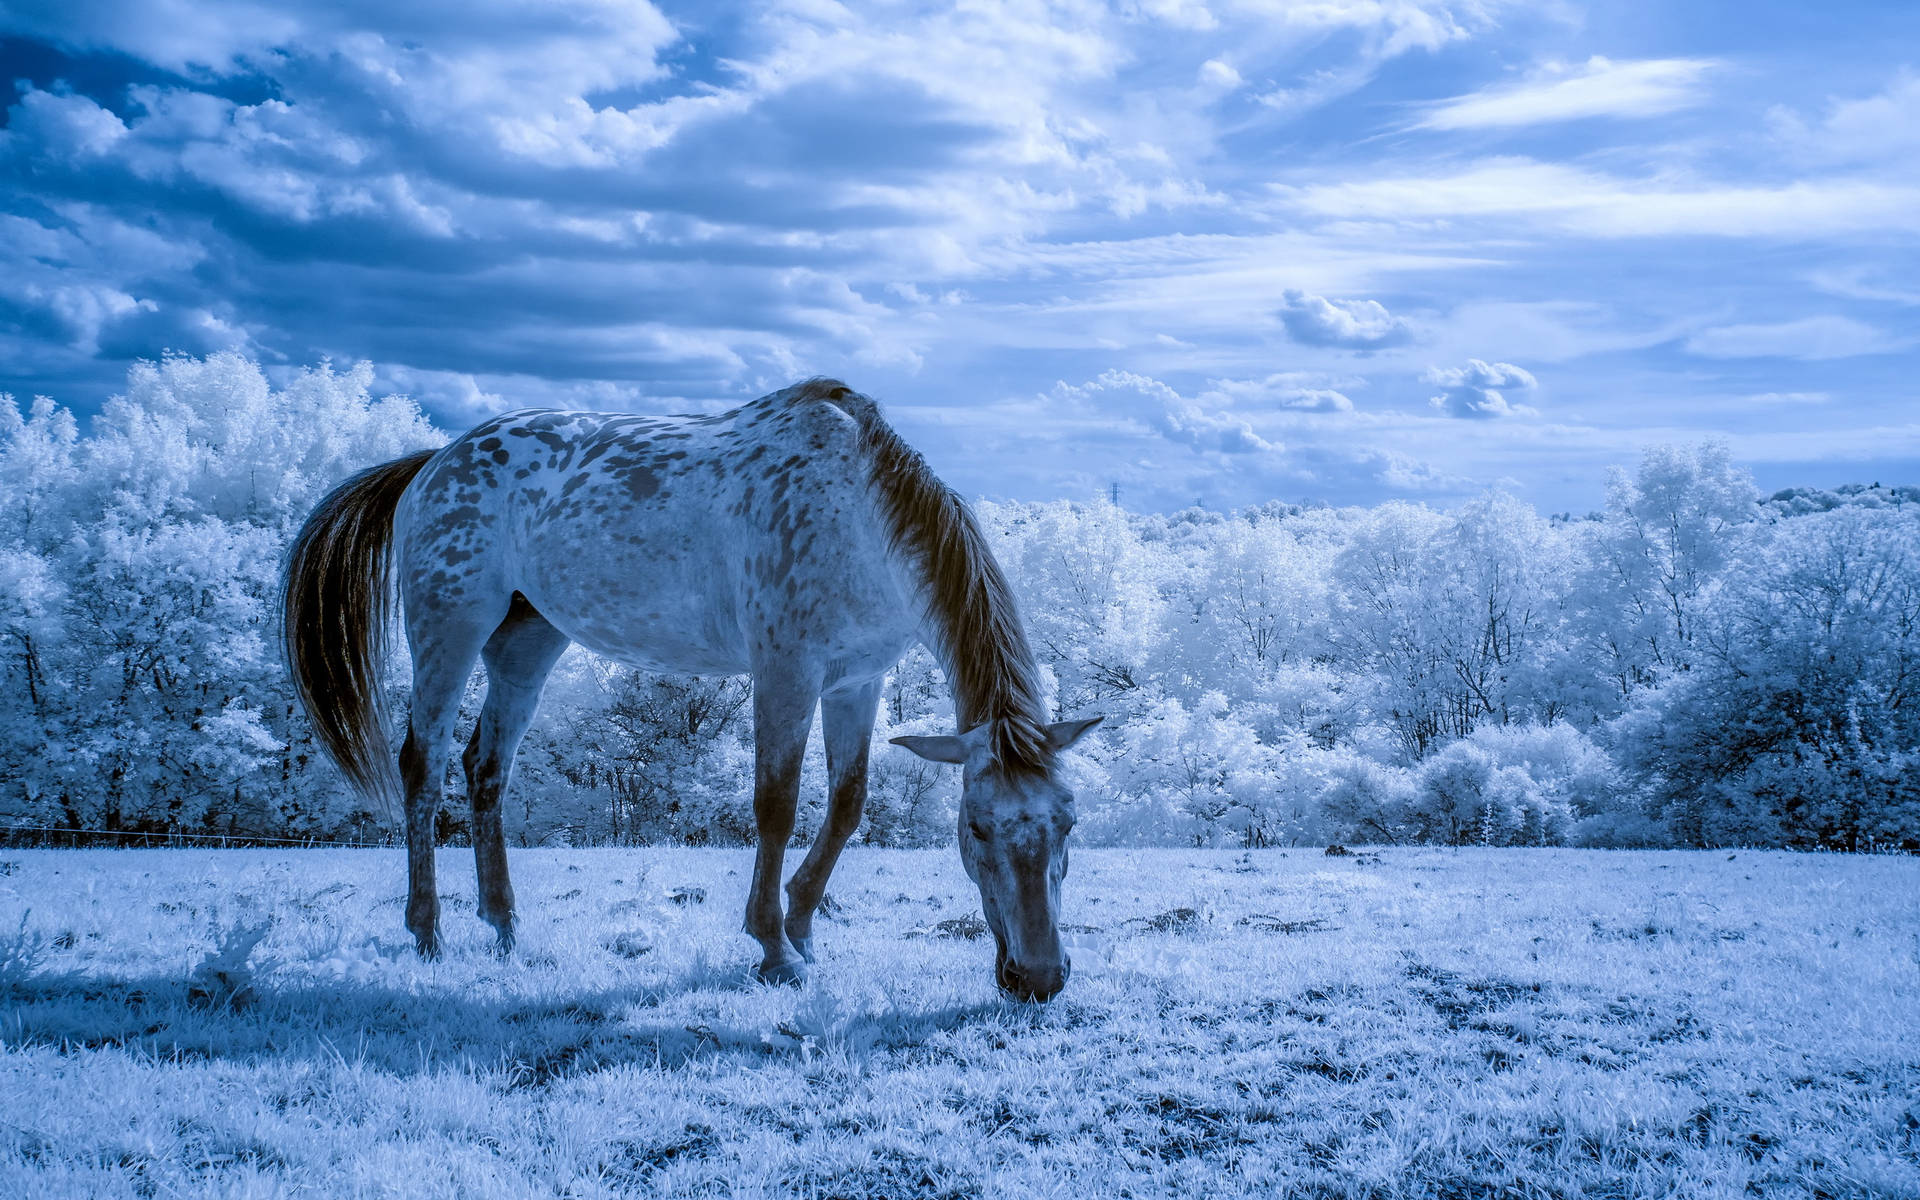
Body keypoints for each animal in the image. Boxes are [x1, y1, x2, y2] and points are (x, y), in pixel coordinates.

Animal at [278, 378, 1105, 998]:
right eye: (977, 829)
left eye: (1067, 825)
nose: (1038, 977)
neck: (860, 512)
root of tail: (432, 462)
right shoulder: (786, 673)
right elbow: (775, 805)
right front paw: (773, 947)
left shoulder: (856, 681)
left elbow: (846, 806)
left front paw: (802, 925)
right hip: (450, 629)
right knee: (423, 766)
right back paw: (428, 931)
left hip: (527, 641)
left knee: (488, 768)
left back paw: (505, 925)